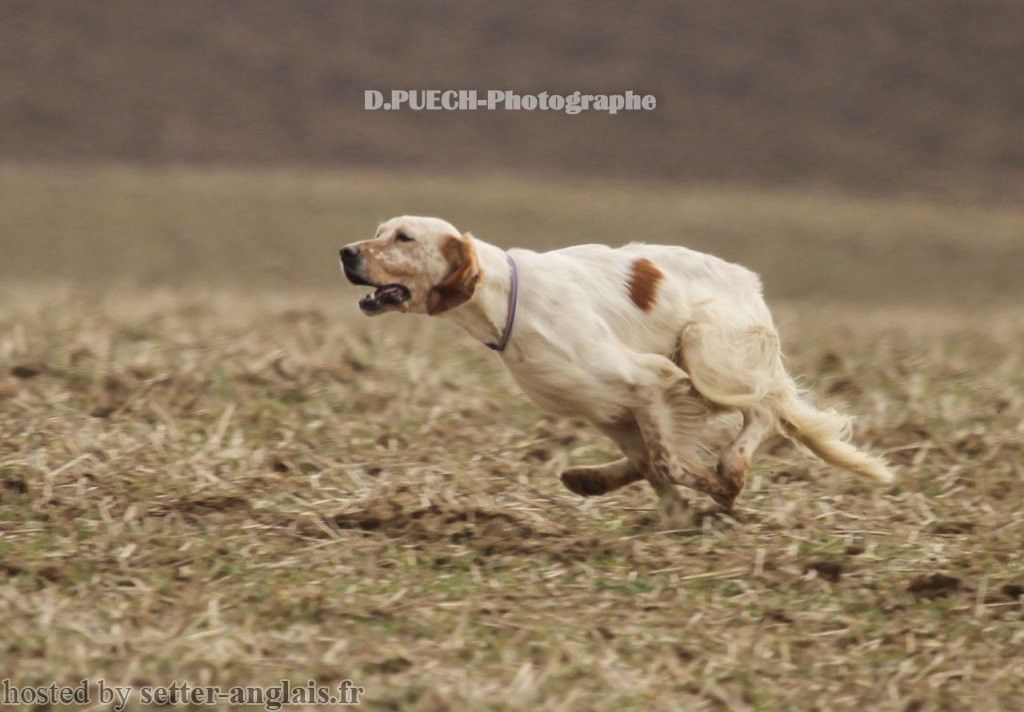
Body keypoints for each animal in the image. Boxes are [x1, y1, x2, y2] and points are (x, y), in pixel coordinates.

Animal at [339, 214, 892, 520]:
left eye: (404, 238)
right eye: (378, 232)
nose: (344, 251)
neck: (506, 298)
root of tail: (749, 283)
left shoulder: (648, 380)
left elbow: (668, 463)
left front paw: (720, 488)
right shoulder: (607, 408)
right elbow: (651, 465)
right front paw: (660, 508)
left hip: (705, 350)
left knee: (763, 410)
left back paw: (732, 467)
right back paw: (588, 478)